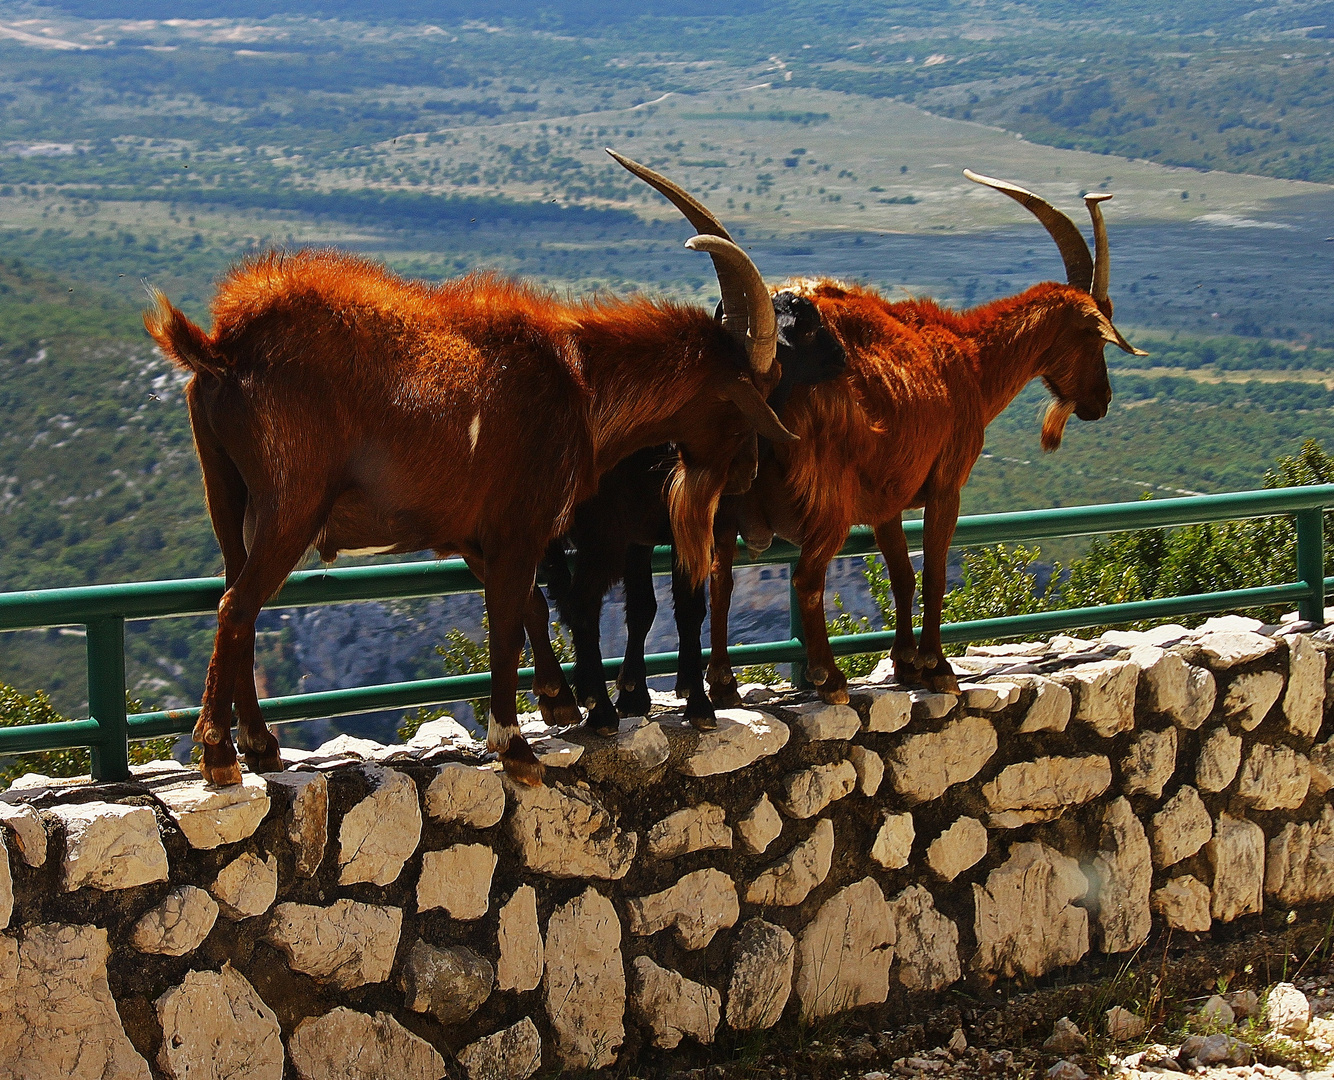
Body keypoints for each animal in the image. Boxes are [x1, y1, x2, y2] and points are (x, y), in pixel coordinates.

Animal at [148, 158, 789, 784]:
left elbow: (529, 605)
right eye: (748, 400)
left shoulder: (477, 534)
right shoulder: (522, 526)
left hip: (228, 498)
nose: (747, 474)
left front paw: (559, 703)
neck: (582, 383)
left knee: (235, 596)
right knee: (238, 605)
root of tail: (223, 350)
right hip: (292, 506)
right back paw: (220, 754)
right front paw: (517, 747)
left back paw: (258, 745)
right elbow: (504, 622)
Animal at [541, 290, 843, 730]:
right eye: (806, 326)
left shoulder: (646, 537)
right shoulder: (691, 524)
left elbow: (645, 608)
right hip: (598, 535)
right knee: (577, 603)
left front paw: (636, 693)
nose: (841, 355)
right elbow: (688, 607)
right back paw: (593, 708)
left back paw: (572, 695)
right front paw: (697, 702)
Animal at [709, 172, 1147, 704]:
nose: (1100, 401)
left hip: (725, 500)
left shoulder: (887, 500)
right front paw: (937, 668)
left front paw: (904, 663)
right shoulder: (945, 484)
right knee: (805, 578)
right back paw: (829, 679)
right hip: (828, 505)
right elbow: (935, 572)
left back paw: (722, 684)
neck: (970, 360)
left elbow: (902, 575)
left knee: (718, 580)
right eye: (1095, 336)